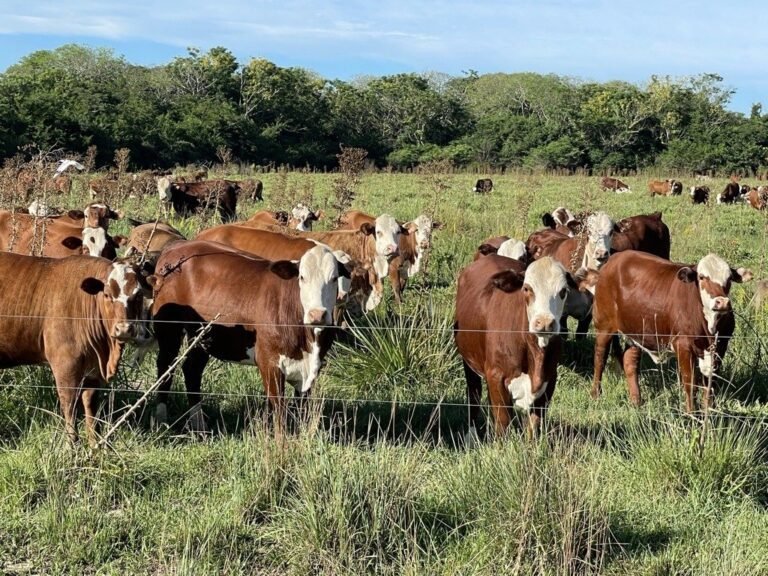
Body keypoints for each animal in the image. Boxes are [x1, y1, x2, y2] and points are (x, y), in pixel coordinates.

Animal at [0, 253, 153, 446]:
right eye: (107, 294)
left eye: (138, 295)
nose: (124, 329)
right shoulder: (65, 366)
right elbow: (70, 406)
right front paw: (72, 445)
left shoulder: (94, 372)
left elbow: (91, 408)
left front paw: (95, 444)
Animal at [150, 240, 348, 432]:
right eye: (302, 277)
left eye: (334, 278)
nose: (317, 315)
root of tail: (177, 246)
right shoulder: (269, 363)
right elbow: (279, 411)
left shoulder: (311, 369)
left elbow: (302, 408)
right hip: (169, 329)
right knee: (165, 367)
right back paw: (161, 419)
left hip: (201, 337)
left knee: (192, 370)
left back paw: (199, 425)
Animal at [452, 254, 592, 438]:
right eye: (526, 288)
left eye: (563, 291)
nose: (545, 323)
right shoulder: (496, 376)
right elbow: (503, 424)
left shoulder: (549, 380)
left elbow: (533, 426)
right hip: (469, 361)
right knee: (473, 395)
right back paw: (471, 436)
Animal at [592, 251, 752, 410]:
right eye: (701, 277)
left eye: (729, 278)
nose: (722, 302)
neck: (710, 328)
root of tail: (616, 257)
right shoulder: (683, 346)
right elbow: (690, 383)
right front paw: (691, 413)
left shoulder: (720, 347)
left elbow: (710, 383)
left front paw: (709, 411)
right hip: (604, 325)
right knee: (600, 358)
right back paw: (596, 395)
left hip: (636, 331)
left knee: (630, 362)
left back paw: (636, 402)